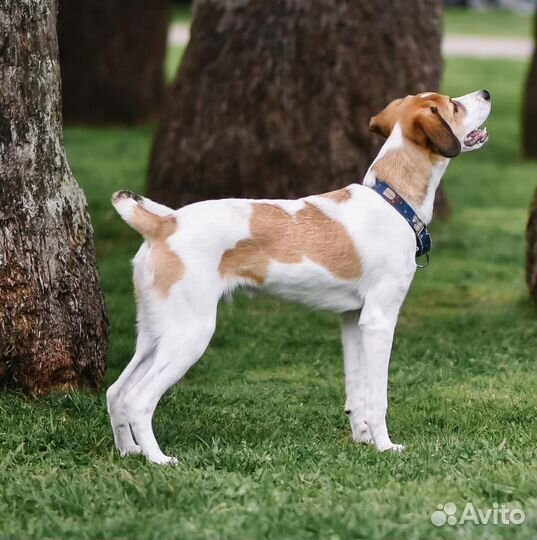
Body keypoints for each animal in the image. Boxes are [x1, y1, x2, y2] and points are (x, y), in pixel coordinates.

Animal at [107, 89, 492, 464]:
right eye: (453, 105)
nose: (487, 93)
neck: (393, 202)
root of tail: (163, 224)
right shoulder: (380, 321)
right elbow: (377, 396)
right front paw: (384, 446)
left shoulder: (353, 321)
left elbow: (357, 392)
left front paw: (362, 439)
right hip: (190, 334)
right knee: (139, 399)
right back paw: (157, 459)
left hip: (154, 334)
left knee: (116, 392)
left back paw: (129, 451)